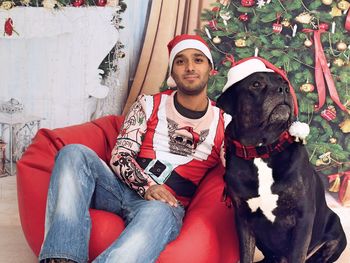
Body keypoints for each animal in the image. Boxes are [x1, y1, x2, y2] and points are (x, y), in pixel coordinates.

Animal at [217, 60, 346, 263]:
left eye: (285, 83)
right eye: (256, 84)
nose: (284, 89)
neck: (262, 150)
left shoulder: (303, 217)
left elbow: (297, 254)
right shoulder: (243, 218)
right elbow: (245, 254)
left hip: (336, 235)